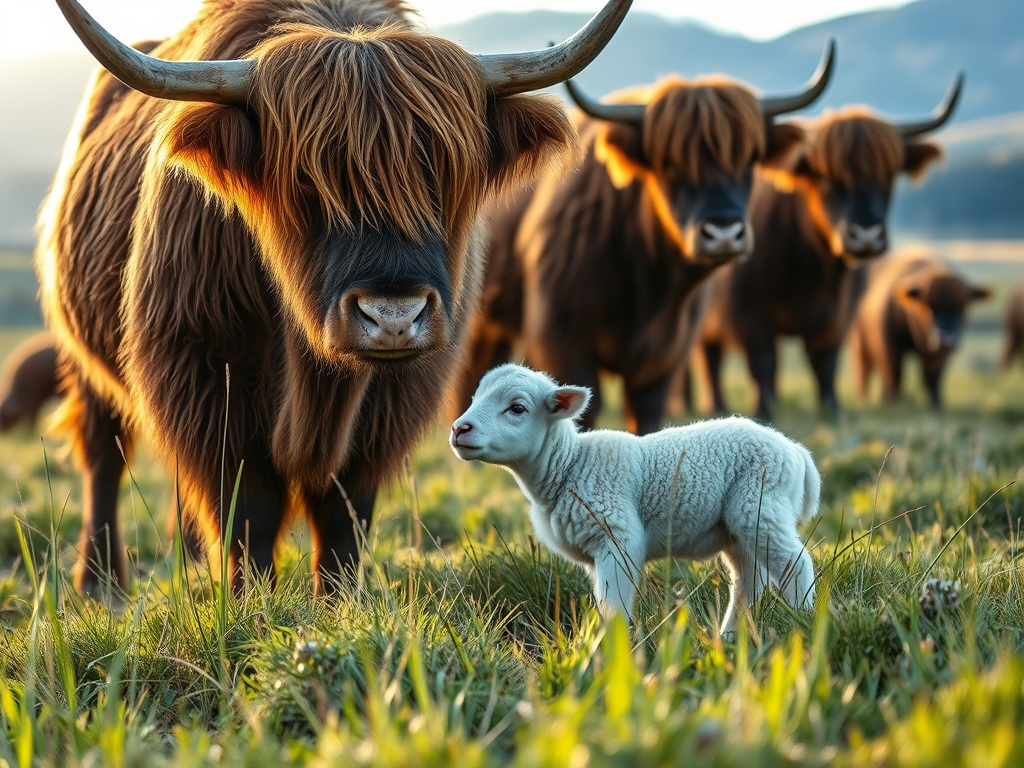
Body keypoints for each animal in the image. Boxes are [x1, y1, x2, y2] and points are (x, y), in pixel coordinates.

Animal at [450, 364, 820, 635]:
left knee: (795, 563)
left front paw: (607, 653)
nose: (459, 429)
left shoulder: (617, 537)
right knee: (748, 583)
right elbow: (603, 602)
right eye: (474, 397)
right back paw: (730, 637)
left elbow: (614, 605)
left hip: (759, 503)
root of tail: (796, 452)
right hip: (738, 529)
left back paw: (804, 623)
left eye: (517, 408)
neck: (569, 466)